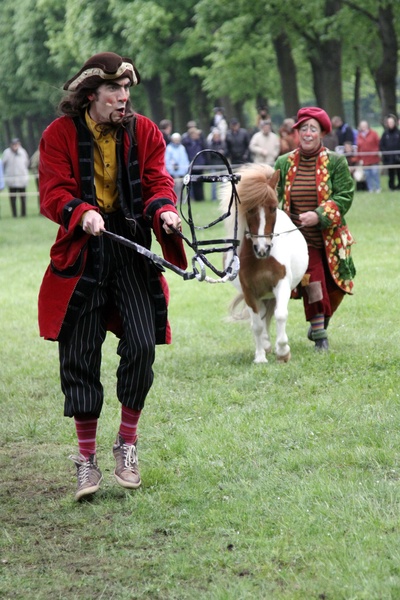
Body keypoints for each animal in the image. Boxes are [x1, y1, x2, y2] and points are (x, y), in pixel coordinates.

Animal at [220, 162, 308, 364]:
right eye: (249, 209)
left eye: (273, 208)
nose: (263, 248)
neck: (260, 260)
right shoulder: (249, 292)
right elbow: (257, 325)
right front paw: (260, 357)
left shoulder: (281, 284)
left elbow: (280, 315)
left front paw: (283, 352)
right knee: (261, 317)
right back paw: (266, 345)